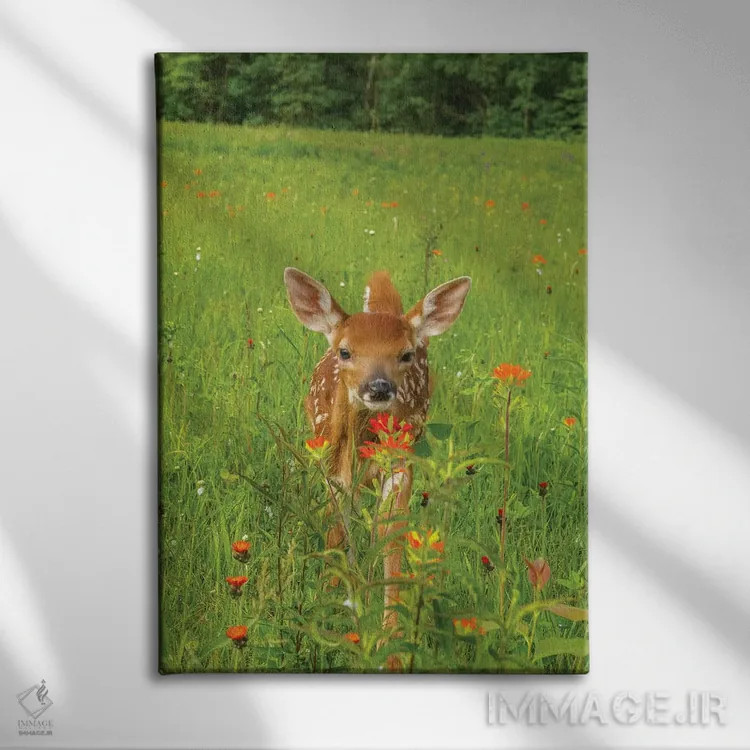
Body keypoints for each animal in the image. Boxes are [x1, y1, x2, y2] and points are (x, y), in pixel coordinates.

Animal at [283, 267, 471, 667]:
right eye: (345, 351)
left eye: (405, 354)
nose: (379, 387)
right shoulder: (330, 466)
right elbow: (337, 529)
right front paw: (330, 596)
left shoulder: (401, 463)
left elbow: (391, 532)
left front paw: (391, 645)